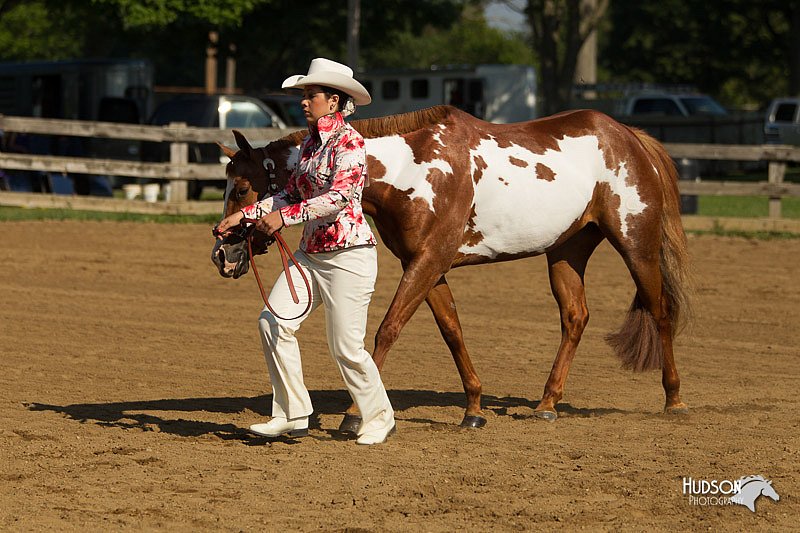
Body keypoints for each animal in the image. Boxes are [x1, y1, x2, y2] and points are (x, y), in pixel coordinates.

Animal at [209, 105, 692, 432]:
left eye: (244, 188)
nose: (222, 253)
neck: (413, 165)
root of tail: (628, 136)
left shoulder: (429, 260)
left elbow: (387, 329)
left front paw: (354, 415)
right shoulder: (427, 264)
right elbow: (451, 330)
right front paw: (474, 409)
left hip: (636, 246)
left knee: (661, 311)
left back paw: (674, 400)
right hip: (566, 250)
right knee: (575, 318)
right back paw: (547, 404)